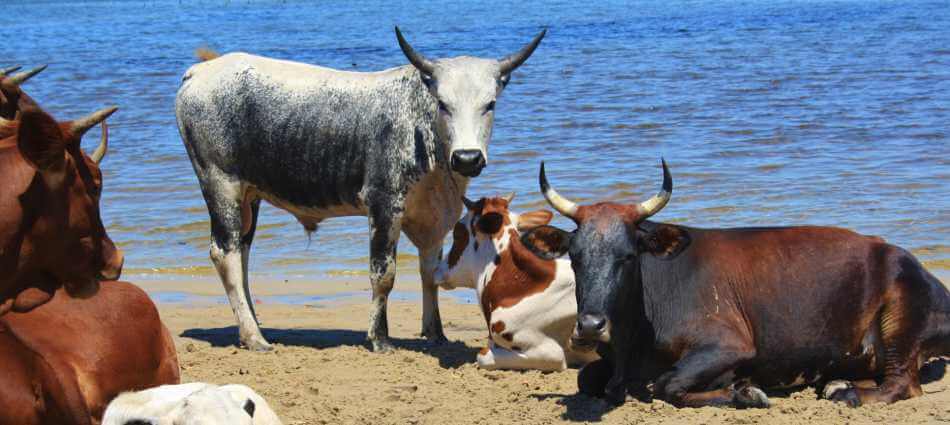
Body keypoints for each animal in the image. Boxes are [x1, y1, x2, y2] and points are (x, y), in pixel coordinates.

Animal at [176, 27, 546, 352]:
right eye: (443, 103)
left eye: (490, 103)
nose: (468, 158)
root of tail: (201, 71)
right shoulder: (384, 203)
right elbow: (384, 273)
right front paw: (380, 338)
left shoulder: (434, 216)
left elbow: (430, 272)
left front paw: (435, 332)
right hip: (220, 185)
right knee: (225, 253)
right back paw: (254, 337)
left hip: (249, 198)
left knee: (242, 255)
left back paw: (252, 324)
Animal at [520, 160, 950, 408]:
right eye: (575, 257)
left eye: (628, 255)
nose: (591, 325)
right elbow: (587, 378)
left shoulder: (728, 344)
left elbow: (667, 383)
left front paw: (744, 391)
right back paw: (837, 382)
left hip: (901, 322)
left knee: (901, 384)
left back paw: (848, 392)